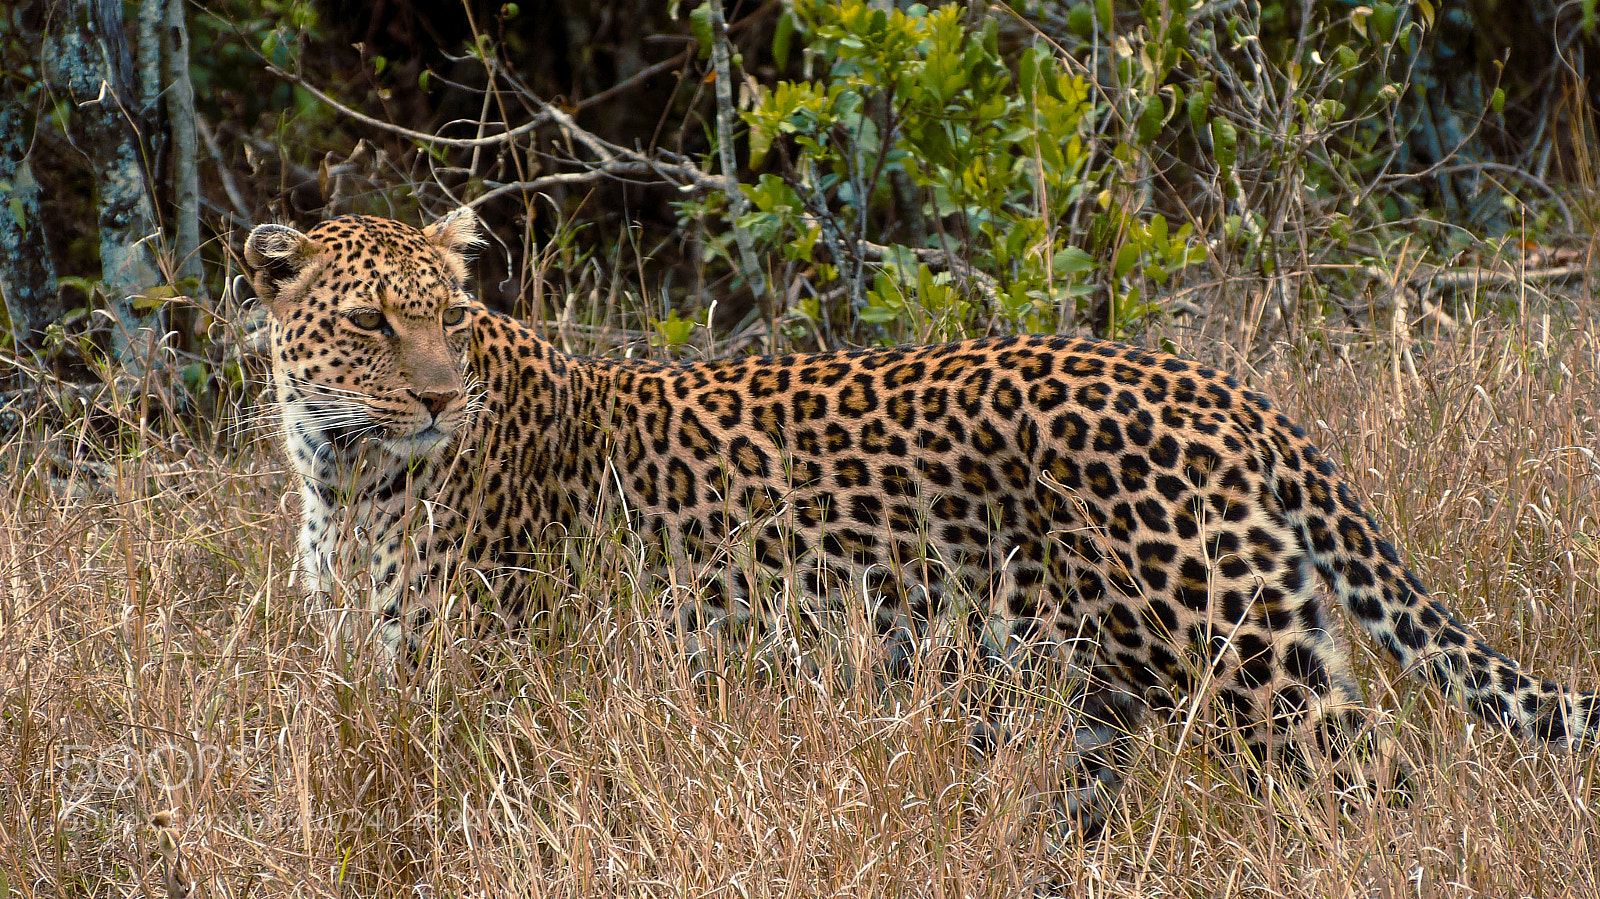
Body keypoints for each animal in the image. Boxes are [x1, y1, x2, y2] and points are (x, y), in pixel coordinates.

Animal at [244, 208, 1598, 831]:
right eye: (369, 320)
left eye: (449, 318)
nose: (439, 397)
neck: (341, 477)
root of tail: (1215, 385)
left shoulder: (477, 677)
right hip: (1132, 673)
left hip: (1239, 647)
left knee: (1376, 780)